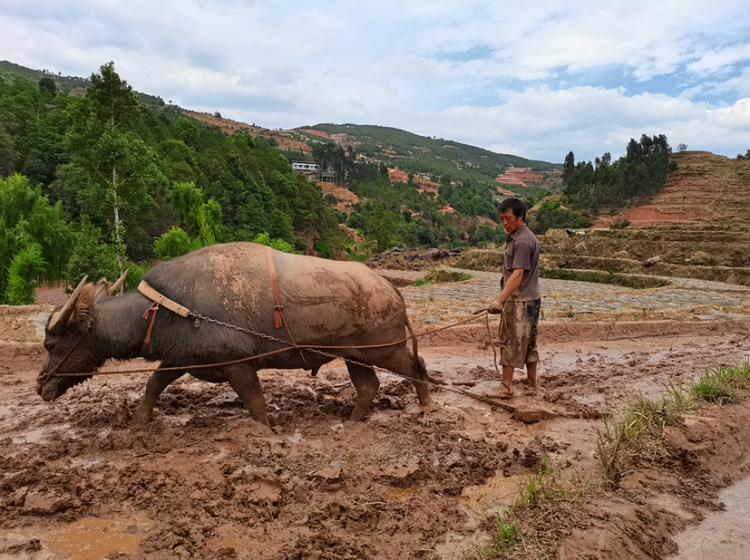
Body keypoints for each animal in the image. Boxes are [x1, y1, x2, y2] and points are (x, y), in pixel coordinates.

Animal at [36, 243, 434, 426]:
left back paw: (427, 408)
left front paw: (268, 431)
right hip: (356, 356)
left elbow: (255, 403)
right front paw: (138, 422)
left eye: (51, 343)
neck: (164, 311)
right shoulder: (178, 360)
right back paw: (352, 422)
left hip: (384, 350)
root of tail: (390, 289)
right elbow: (152, 386)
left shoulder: (238, 365)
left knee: (418, 367)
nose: (41, 386)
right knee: (369, 387)